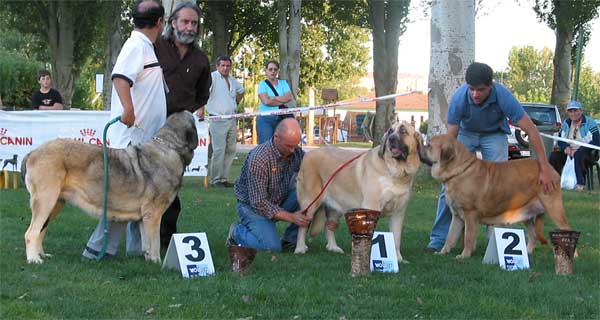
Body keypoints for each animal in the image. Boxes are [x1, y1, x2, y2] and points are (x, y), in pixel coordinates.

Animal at [21, 111, 199, 264]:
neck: (169, 147)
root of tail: (33, 152)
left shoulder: (145, 217)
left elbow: (146, 243)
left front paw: (149, 261)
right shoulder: (153, 214)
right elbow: (153, 242)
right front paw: (157, 262)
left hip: (56, 202)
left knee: (41, 230)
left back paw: (41, 255)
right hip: (46, 199)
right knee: (31, 232)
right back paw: (34, 259)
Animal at [294, 120, 424, 262]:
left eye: (403, 131)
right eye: (390, 131)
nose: (391, 139)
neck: (396, 172)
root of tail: (308, 154)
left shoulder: (398, 213)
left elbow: (396, 238)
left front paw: (398, 259)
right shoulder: (371, 208)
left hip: (336, 206)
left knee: (329, 226)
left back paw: (333, 247)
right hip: (310, 202)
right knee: (302, 224)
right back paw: (300, 248)